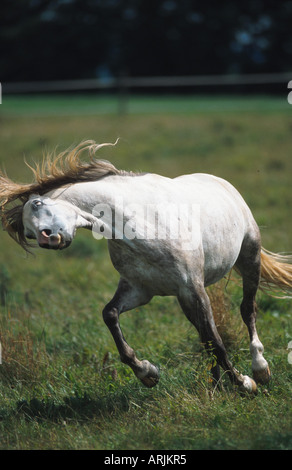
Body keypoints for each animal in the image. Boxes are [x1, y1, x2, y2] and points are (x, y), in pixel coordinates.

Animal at [1, 140, 290, 392]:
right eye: (28, 234)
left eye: (37, 204)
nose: (46, 239)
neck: (138, 221)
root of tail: (224, 184)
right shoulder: (141, 290)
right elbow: (110, 315)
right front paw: (147, 373)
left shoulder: (192, 287)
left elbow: (216, 341)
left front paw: (244, 383)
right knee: (204, 332)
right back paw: (216, 384)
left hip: (248, 258)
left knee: (247, 310)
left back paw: (260, 370)